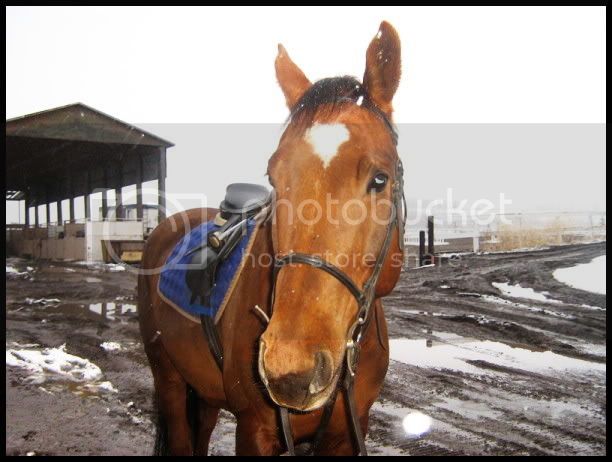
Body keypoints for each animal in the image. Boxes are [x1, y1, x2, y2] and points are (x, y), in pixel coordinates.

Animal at [137, 20, 404, 456]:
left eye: (379, 179)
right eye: (273, 178)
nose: (290, 368)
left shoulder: (349, 432)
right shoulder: (255, 430)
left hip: (204, 392)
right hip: (169, 378)